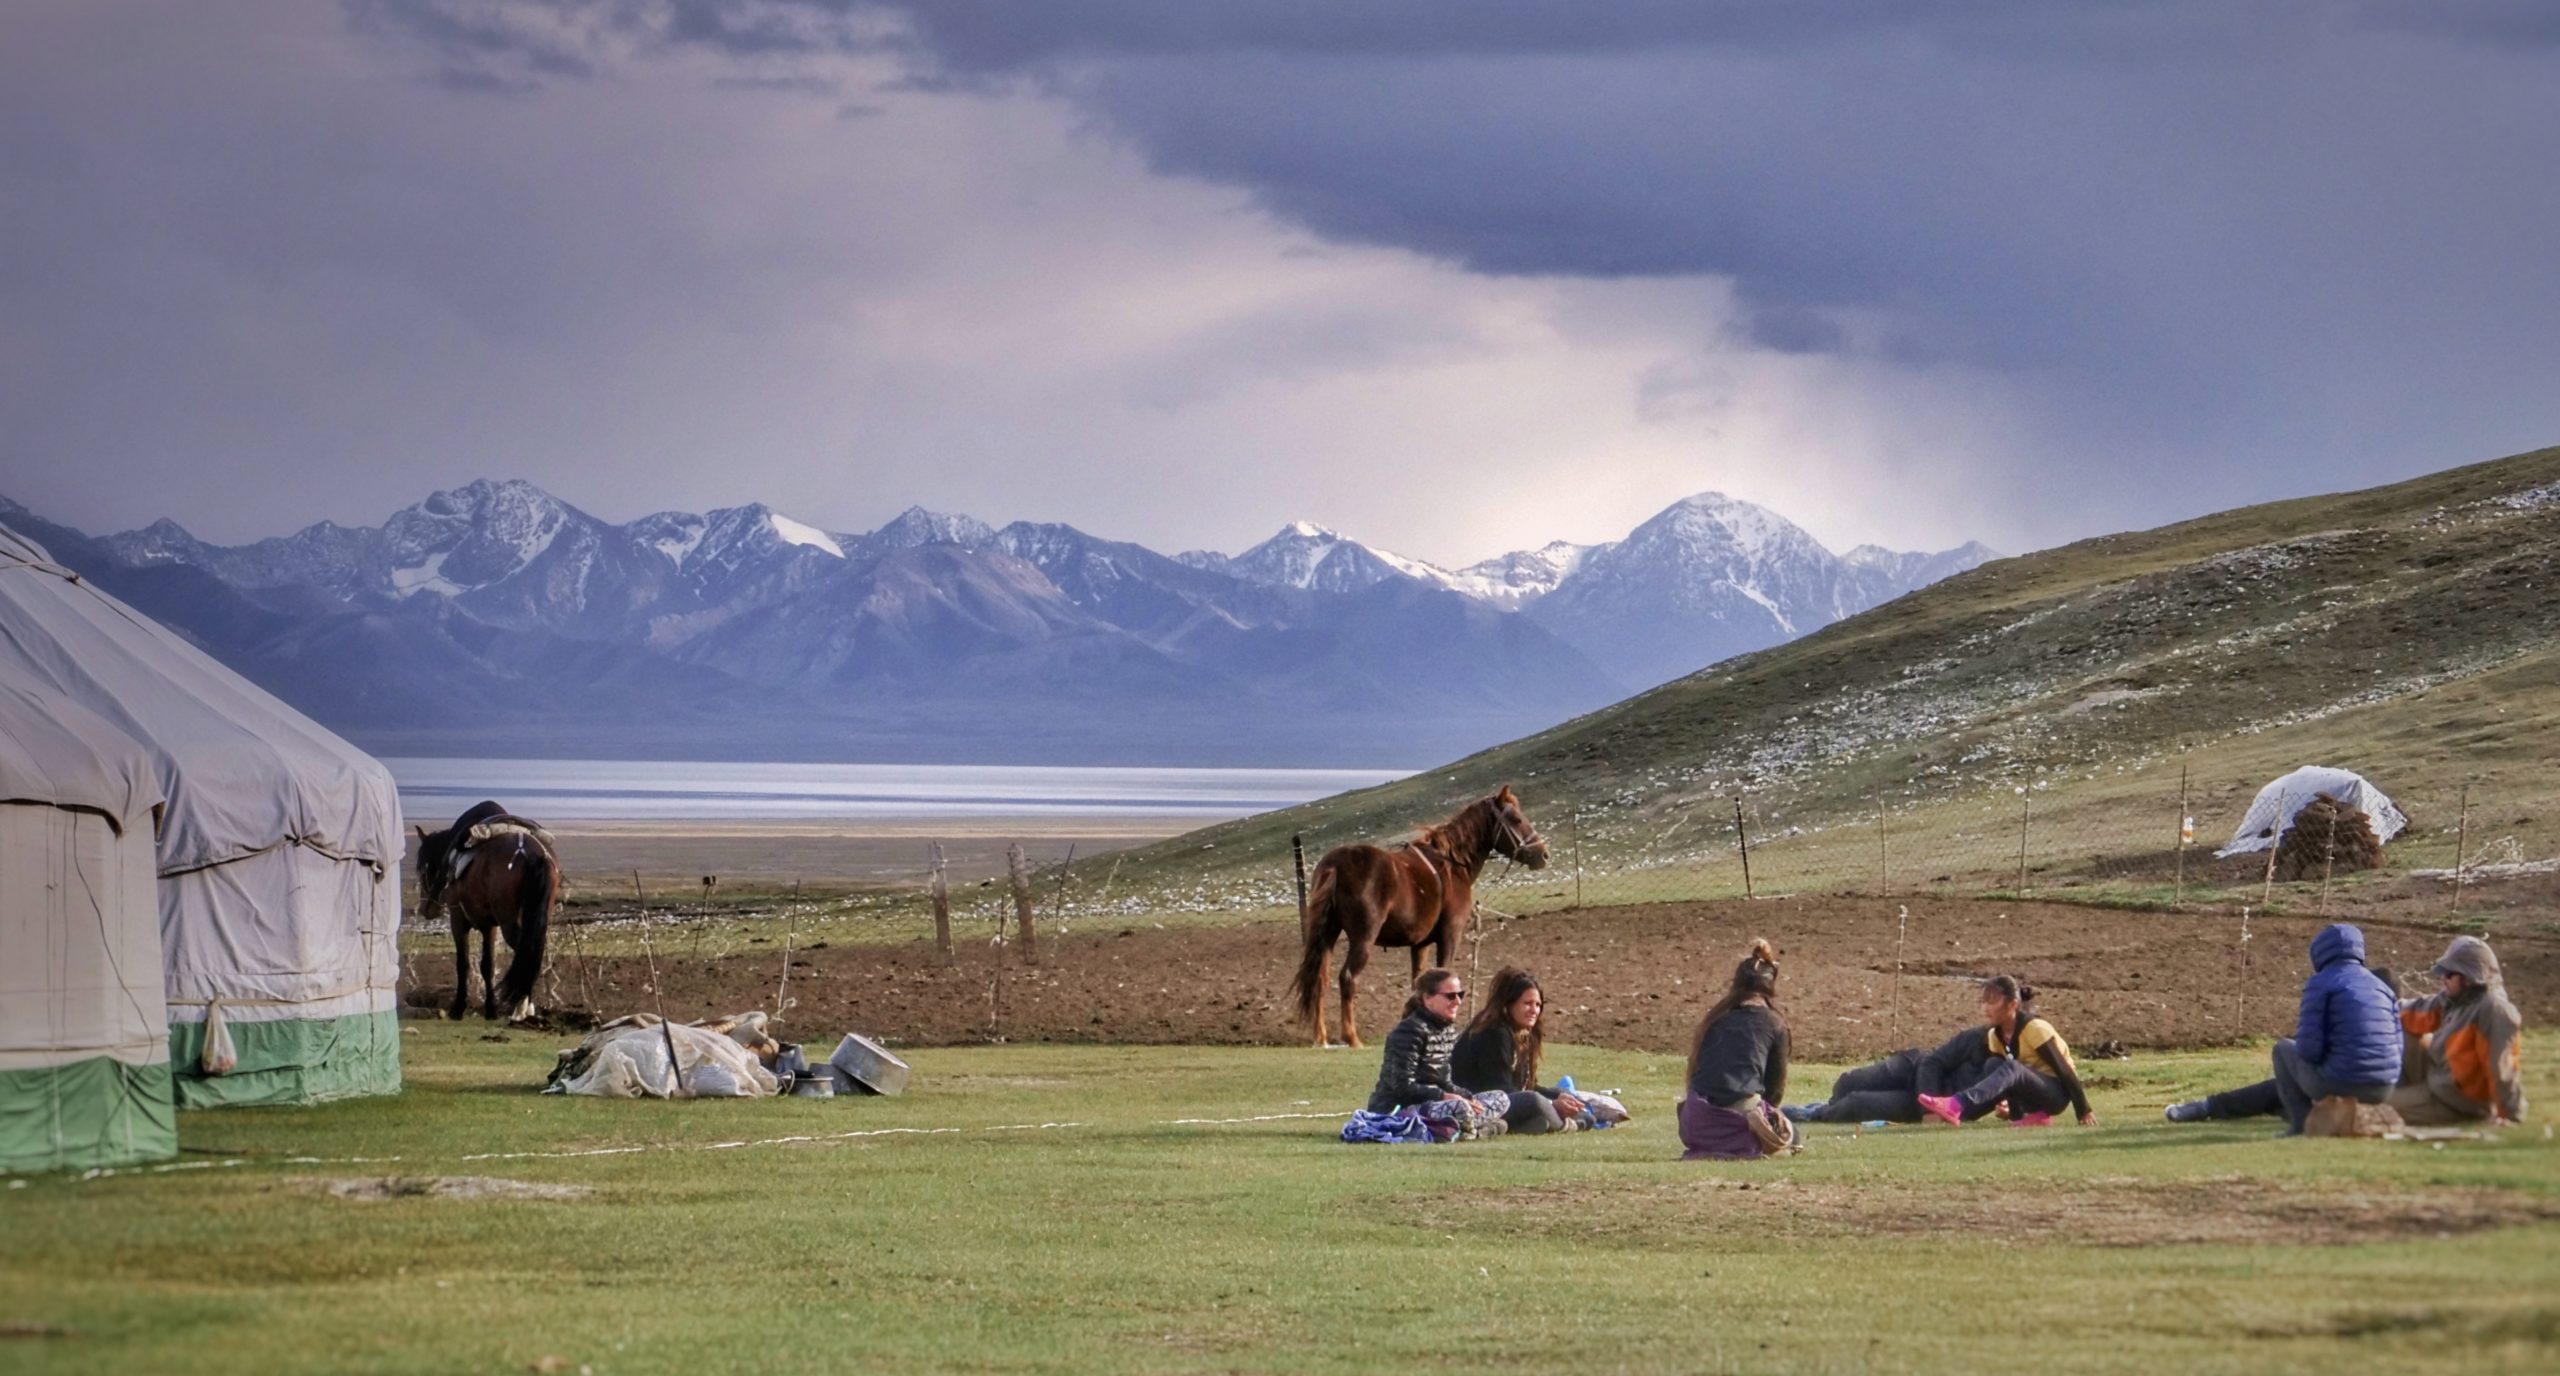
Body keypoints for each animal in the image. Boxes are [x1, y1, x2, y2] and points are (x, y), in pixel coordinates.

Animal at [414, 792, 555, 1017]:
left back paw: (520, 1006)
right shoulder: (490, 926)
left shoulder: (461, 920)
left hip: (509, 922)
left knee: (525, 951)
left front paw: (459, 1008)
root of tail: (532, 855)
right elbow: (487, 964)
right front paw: (490, 1008)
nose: (426, 909)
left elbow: (465, 963)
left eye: (423, 867)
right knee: (534, 952)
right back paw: (525, 1006)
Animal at [1290, 787, 1546, 1043]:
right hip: (1363, 939)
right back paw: (1351, 1037)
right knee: (1348, 978)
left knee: (1320, 980)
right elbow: (1444, 975)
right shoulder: (1449, 936)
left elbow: (1418, 983)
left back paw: (1321, 1037)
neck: (1451, 865)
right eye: (1516, 819)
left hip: (1328, 935)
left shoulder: (1420, 945)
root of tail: (1335, 865)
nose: (1543, 854)